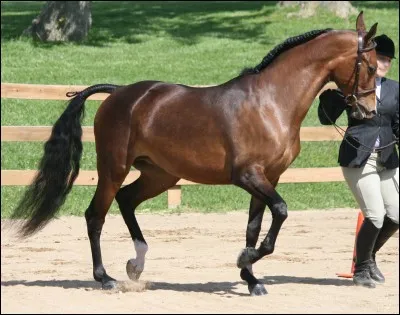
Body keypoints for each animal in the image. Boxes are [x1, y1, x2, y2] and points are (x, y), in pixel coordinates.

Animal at [9, 11, 378, 296]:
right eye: (372, 67)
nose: (369, 111)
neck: (271, 101)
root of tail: (118, 94)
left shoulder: (268, 178)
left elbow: (254, 228)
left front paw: (251, 277)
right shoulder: (248, 176)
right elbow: (281, 212)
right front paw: (245, 261)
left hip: (160, 174)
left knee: (126, 200)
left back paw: (136, 264)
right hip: (113, 169)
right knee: (95, 216)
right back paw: (106, 279)